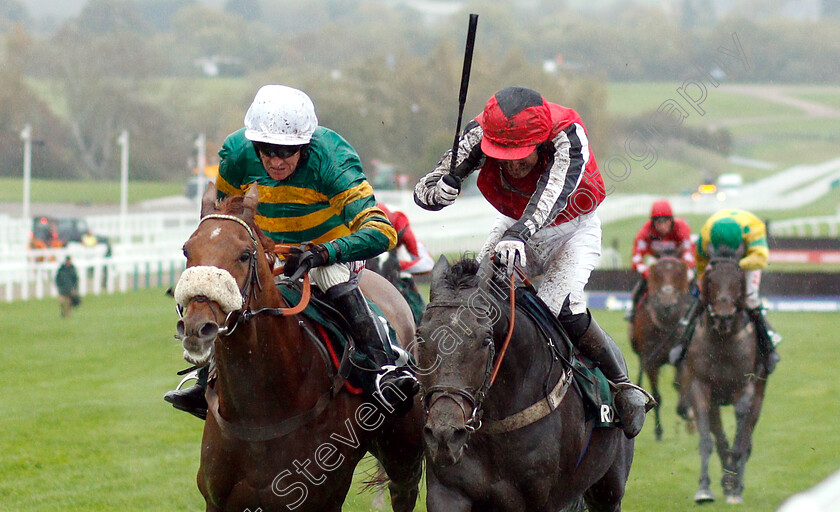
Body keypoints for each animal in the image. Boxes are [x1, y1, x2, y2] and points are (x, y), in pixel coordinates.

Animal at [178, 184, 426, 512]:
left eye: (244, 255)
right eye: (187, 250)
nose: (197, 327)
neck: (260, 410)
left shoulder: (322, 498)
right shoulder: (219, 500)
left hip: (404, 455)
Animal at [416, 256, 632, 512]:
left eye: (485, 340)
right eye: (420, 337)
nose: (444, 435)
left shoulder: (539, 500)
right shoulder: (447, 491)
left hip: (608, 488)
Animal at [628, 256, 692, 440]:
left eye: (678, 273)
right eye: (657, 273)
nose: (667, 301)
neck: (666, 323)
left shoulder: (681, 356)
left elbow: (682, 390)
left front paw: (687, 414)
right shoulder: (651, 360)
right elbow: (656, 395)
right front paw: (659, 431)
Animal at [676, 256, 768, 504]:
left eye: (738, 281)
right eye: (711, 281)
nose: (723, 316)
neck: (723, 340)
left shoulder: (745, 385)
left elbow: (741, 434)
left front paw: (735, 485)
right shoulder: (700, 386)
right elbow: (708, 440)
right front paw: (704, 488)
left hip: (759, 394)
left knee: (746, 435)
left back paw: (736, 483)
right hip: (715, 402)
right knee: (719, 437)